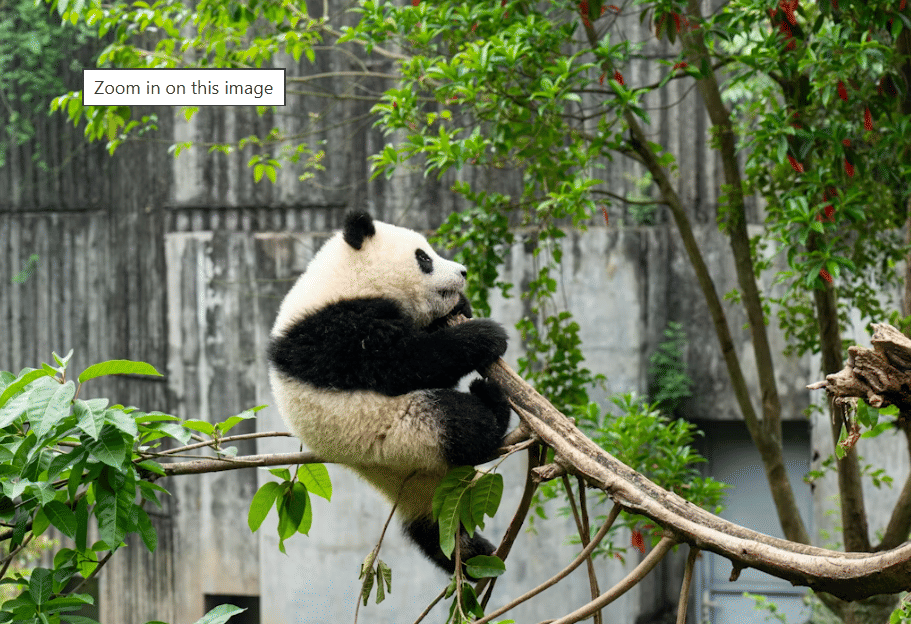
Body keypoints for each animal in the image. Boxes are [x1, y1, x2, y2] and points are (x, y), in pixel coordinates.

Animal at [267, 211, 511, 574]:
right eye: (424, 258)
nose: (463, 272)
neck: (344, 280)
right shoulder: (335, 332)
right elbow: (403, 364)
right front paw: (485, 335)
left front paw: (461, 307)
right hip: (407, 433)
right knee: (464, 422)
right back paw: (491, 402)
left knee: (432, 532)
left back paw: (472, 551)